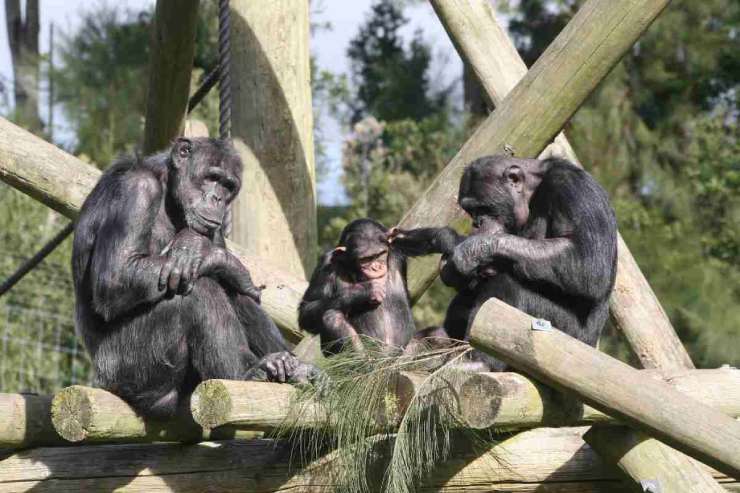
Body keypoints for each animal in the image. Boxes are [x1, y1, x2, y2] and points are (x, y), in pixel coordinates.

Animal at [71, 137, 310, 416]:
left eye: (228, 186)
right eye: (212, 177)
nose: (218, 198)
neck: (168, 191)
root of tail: (102, 380)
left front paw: (199, 249)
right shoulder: (137, 191)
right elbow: (115, 276)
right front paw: (207, 253)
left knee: (229, 289)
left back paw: (295, 368)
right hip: (130, 367)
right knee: (200, 290)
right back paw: (247, 372)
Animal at [296, 218, 422, 354]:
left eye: (380, 254)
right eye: (365, 259)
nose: (376, 267)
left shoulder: (398, 245)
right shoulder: (326, 262)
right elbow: (307, 309)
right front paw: (365, 291)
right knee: (333, 318)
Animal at [394, 155, 620, 368]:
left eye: (484, 208)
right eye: (471, 211)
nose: (477, 222)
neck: (533, 192)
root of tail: (592, 345)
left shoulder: (573, 189)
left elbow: (588, 261)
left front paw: (468, 251)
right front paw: (446, 243)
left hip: (564, 336)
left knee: (507, 284)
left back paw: (479, 360)